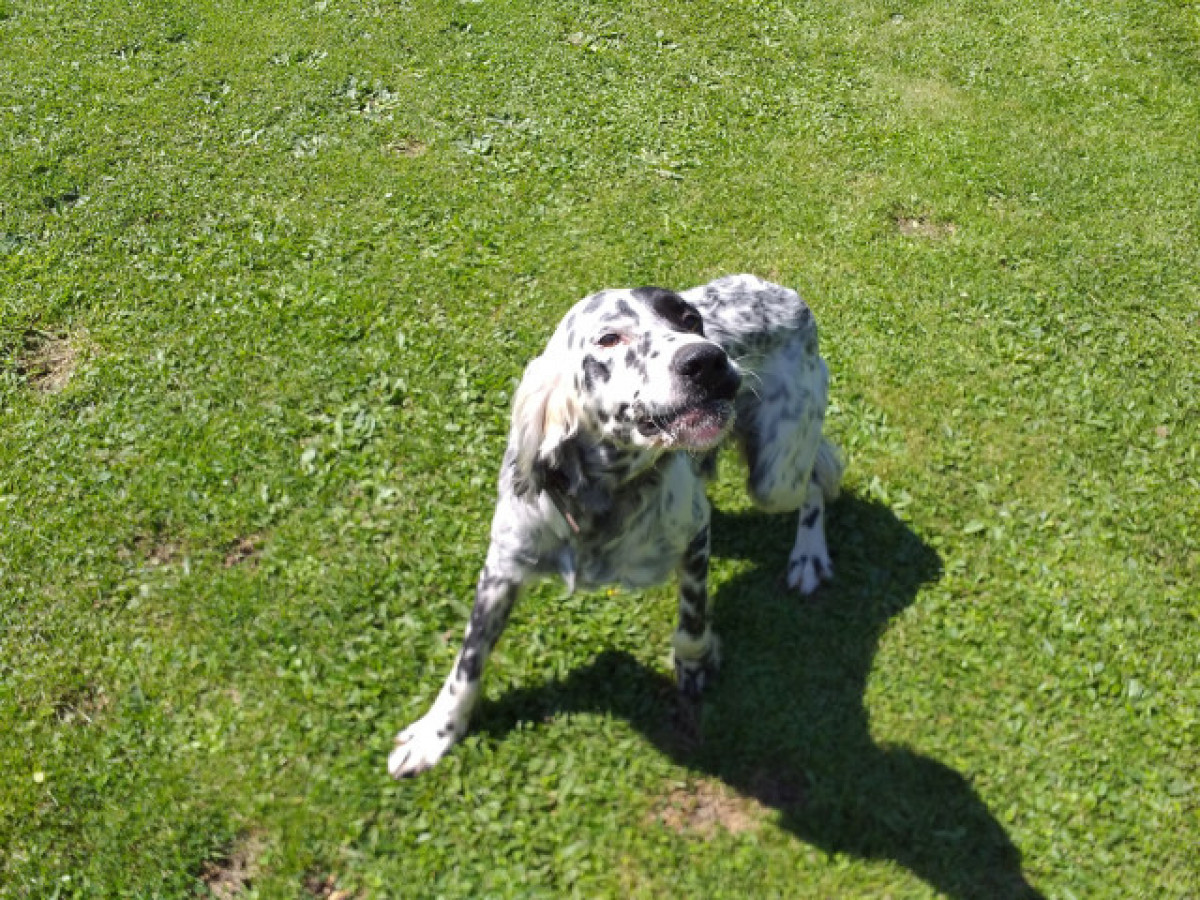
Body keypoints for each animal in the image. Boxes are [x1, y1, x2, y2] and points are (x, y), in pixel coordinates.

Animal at [388, 274, 843, 778]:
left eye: (690, 320)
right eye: (609, 338)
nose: (708, 360)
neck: (603, 499)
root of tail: (780, 290)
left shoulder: (694, 532)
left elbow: (692, 618)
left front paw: (695, 662)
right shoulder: (503, 567)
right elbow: (467, 663)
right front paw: (435, 733)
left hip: (775, 477)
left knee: (815, 481)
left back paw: (808, 557)